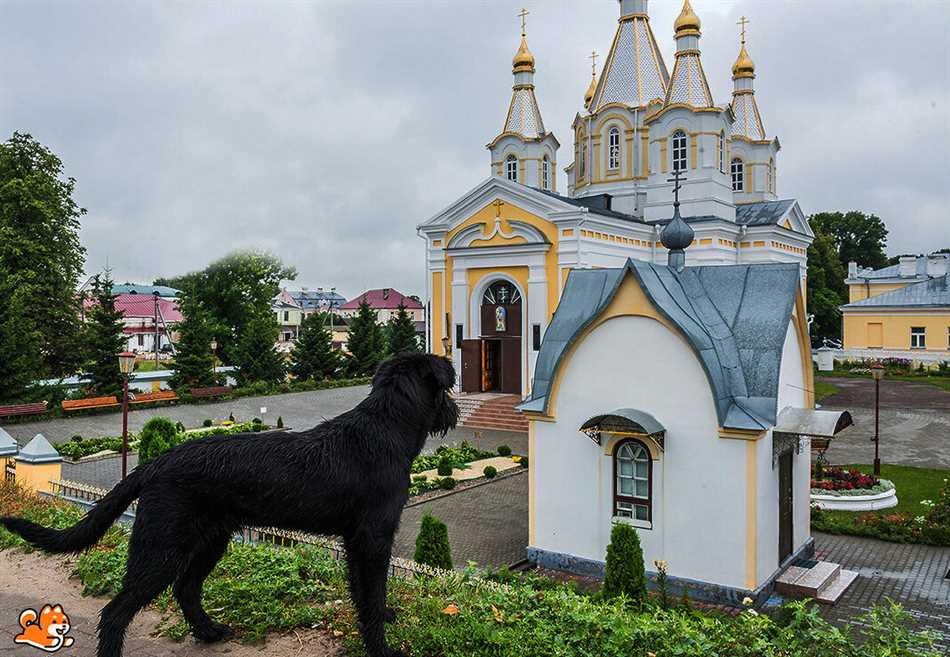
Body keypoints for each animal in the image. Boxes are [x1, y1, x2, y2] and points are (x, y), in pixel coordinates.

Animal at [0, 356, 462, 656]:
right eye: (446, 386)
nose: (455, 411)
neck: (385, 428)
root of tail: (157, 461)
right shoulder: (372, 539)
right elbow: (371, 590)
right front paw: (382, 646)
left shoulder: (357, 543)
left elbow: (366, 593)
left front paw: (382, 617)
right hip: (161, 547)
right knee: (117, 611)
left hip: (210, 541)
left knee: (186, 589)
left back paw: (209, 632)